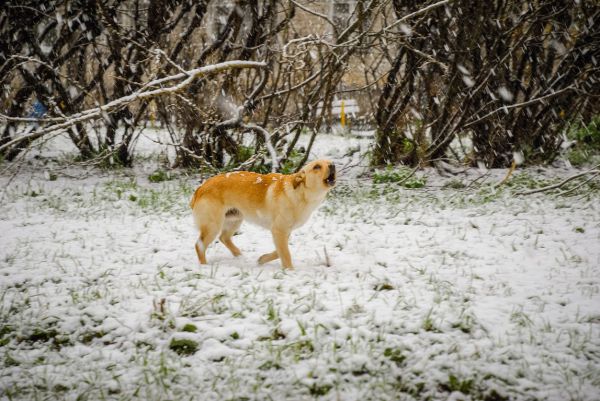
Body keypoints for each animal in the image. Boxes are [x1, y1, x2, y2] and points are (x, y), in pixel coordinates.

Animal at [189, 159, 336, 268]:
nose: (333, 165)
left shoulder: (284, 232)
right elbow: (285, 254)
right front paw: (290, 271)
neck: (301, 193)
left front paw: (262, 259)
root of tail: (201, 188)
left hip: (234, 220)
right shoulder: (278, 230)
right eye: (317, 166)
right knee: (199, 245)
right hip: (213, 226)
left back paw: (239, 256)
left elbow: (279, 251)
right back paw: (204, 266)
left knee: (224, 238)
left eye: (329, 162)